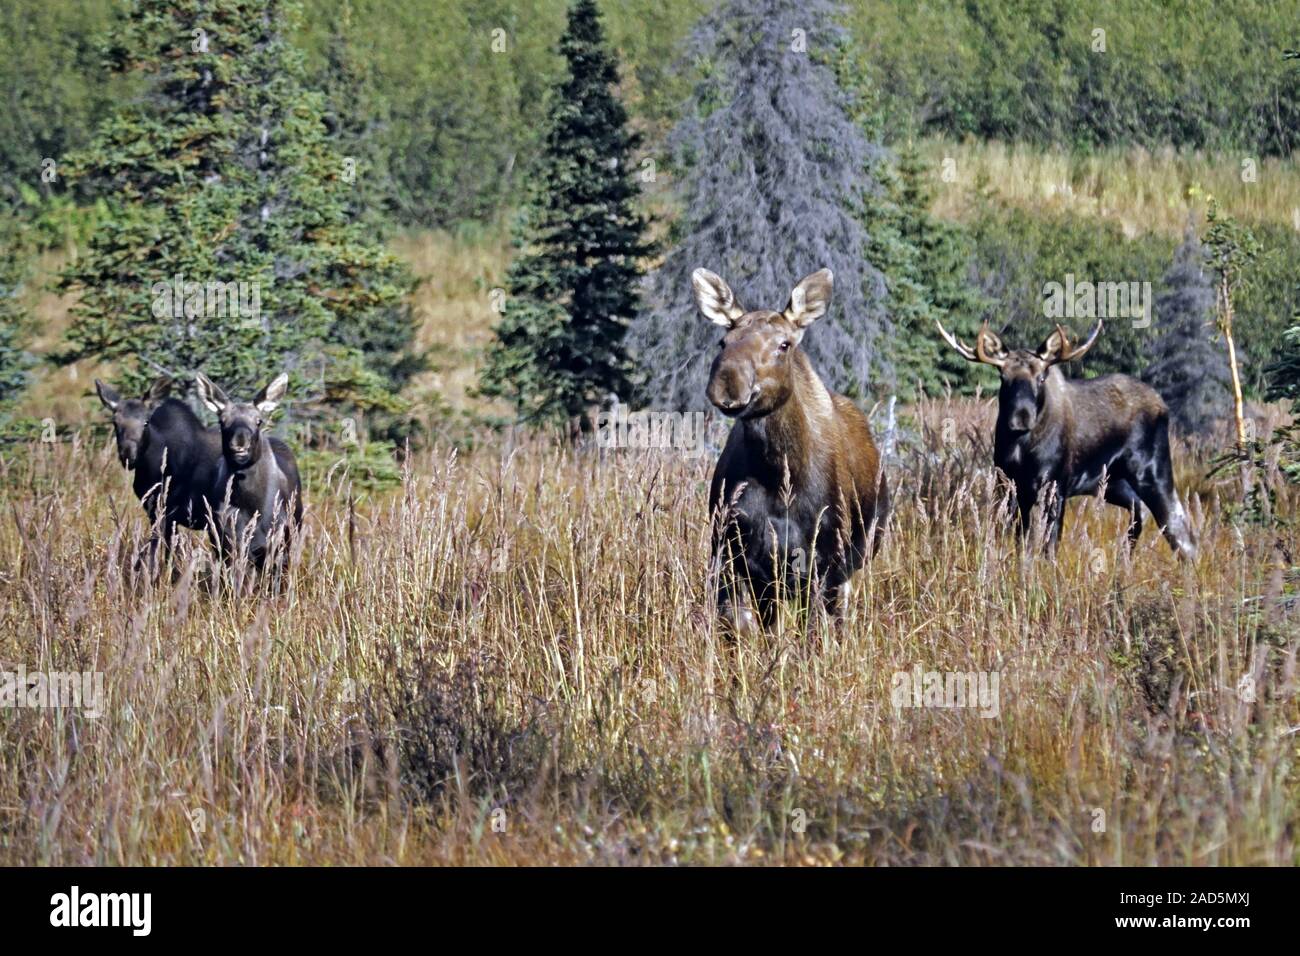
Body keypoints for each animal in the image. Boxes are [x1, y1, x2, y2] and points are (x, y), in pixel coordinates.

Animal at [696, 265, 889, 634]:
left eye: (784, 344)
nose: (727, 383)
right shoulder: (739, 555)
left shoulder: (824, 561)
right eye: (723, 341)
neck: (778, 473)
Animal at [935, 321, 1196, 561]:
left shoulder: (1056, 486)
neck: (1021, 449)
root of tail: (1163, 405)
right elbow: (1021, 544)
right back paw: (1125, 560)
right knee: (1139, 511)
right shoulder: (1010, 486)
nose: (1021, 418)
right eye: (1003, 377)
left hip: (1151, 471)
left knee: (1178, 525)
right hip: (1112, 482)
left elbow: (1050, 546)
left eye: (1041, 377)